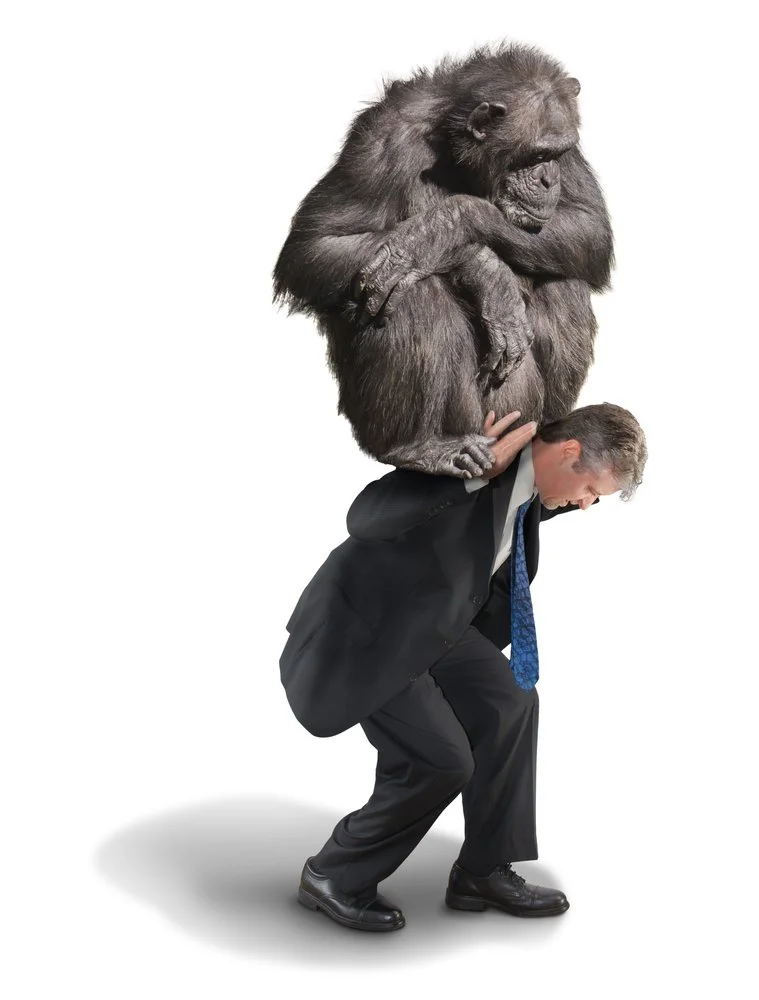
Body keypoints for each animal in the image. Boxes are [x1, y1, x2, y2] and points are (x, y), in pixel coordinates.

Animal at [272, 40, 613, 478]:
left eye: (557, 153)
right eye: (534, 156)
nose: (547, 178)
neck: (457, 150)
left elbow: (590, 227)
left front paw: (447, 225)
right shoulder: (379, 140)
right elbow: (314, 247)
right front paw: (481, 270)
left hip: (515, 410)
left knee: (565, 280)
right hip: (464, 421)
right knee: (402, 292)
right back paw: (417, 448)